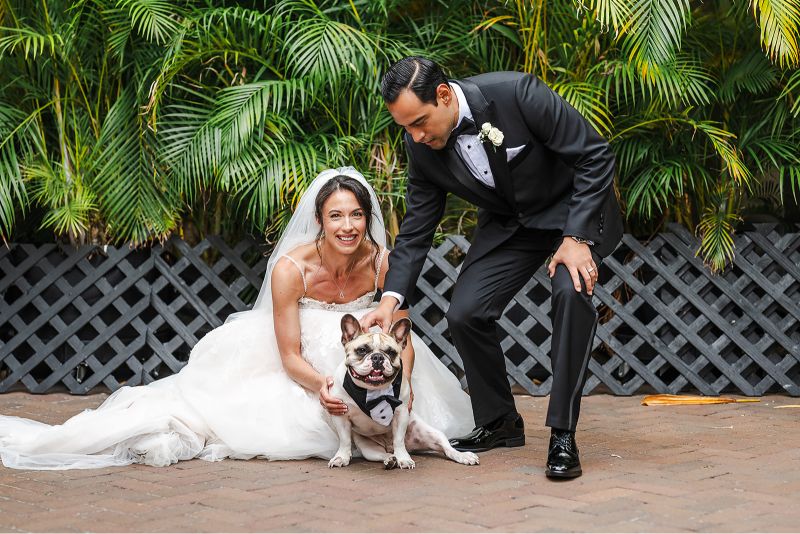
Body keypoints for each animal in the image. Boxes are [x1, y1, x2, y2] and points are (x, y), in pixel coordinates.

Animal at [327, 313, 479, 469]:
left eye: (391, 352)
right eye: (362, 350)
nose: (378, 357)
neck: (372, 391)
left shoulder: (401, 414)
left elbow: (399, 440)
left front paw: (404, 459)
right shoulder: (340, 415)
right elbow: (344, 440)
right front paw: (341, 457)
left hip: (432, 433)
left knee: (447, 448)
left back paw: (463, 456)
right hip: (368, 449)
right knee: (383, 454)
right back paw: (390, 459)